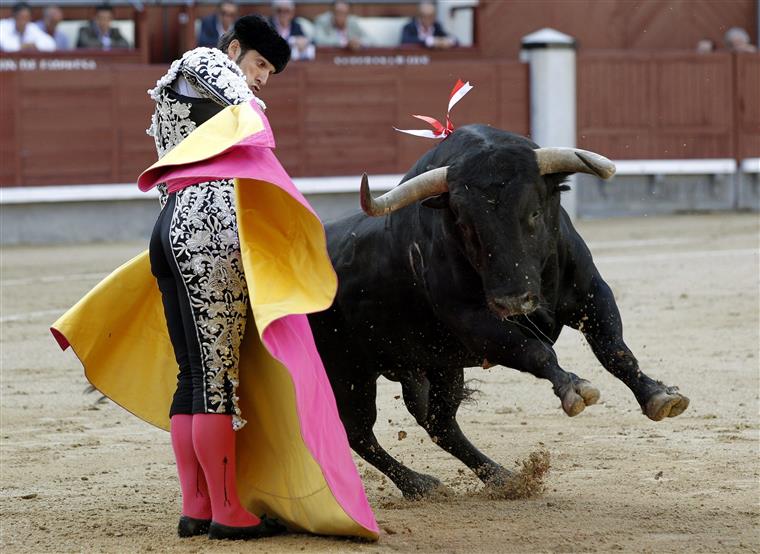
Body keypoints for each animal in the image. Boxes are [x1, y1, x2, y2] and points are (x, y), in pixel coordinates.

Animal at [308, 125, 688, 496]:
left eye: (534, 212)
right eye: (464, 225)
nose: (513, 301)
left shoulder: (591, 293)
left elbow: (614, 349)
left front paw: (658, 396)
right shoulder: (476, 325)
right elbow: (536, 352)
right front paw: (574, 389)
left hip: (431, 366)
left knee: (438, 423)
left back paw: (500, 478)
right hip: (349, 373)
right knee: (359, 432)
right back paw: (419, 484)